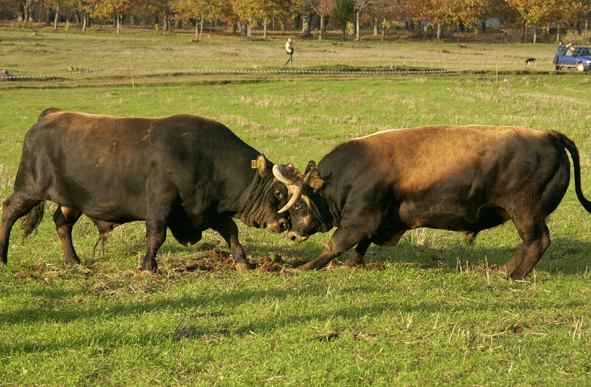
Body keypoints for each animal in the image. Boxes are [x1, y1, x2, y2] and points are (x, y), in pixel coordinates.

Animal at [0, 109, 300, 272]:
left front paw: (243, 262)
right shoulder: (160, 202)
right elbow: (156, 236)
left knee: (61, 223)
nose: (285, 224)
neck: (207, 157)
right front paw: (148, 267)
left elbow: (231, 232)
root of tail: (50, 114)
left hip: (70, 200)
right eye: (278, 194)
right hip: (29, 189)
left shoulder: (205, 210)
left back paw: (73, 261)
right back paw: (2, 257)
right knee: (8, 213)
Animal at [280, 126, 591, 280]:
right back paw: (502, 270)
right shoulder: (378, 218)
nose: (292, 234)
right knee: (531, 244)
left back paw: (512, 275)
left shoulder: (360, 215)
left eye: (297, 205)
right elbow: (361, 244)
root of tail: (550, 135)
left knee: (537, 242)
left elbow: (337, 243)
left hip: (526, 213)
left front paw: (301, 268)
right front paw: (352, 264)